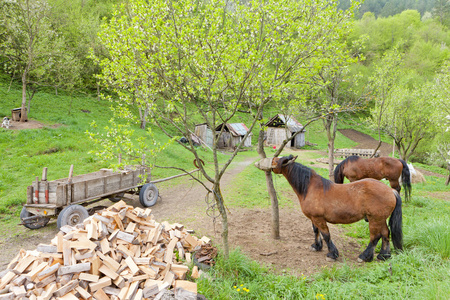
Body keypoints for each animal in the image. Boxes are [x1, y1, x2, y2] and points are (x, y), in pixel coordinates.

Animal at [268, 156, 402, 262]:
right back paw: (384, 255)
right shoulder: (313, 218)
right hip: (380, 219)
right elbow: (316, 231)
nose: (271, 161)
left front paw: (332, 254)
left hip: (375, 219)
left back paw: (365, 256)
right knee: (385, 233)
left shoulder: (318, 218)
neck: (310, 187)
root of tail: (391, 190)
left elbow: (326, 235)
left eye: (277, 160)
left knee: (375, 237)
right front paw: (316, 246)